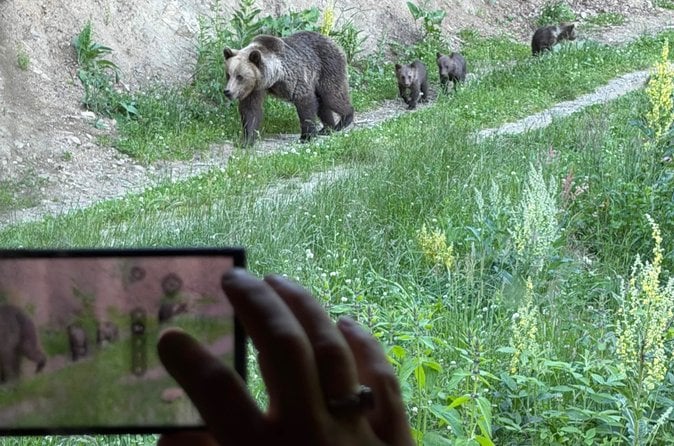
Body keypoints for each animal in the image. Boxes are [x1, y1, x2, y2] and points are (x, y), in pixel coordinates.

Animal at [223, 31, 354, 145]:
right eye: (228, 75)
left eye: (240, 76)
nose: (227, 91)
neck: (273, 77)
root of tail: (334, 42)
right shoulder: (255, 88)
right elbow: (250, 110)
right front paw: (246, 140)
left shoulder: (293, 77)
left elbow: (305, 104)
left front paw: (306, 136)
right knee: (322, 102)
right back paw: (327, 128)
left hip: (328, 67)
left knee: (332, 95)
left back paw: (344, 119)